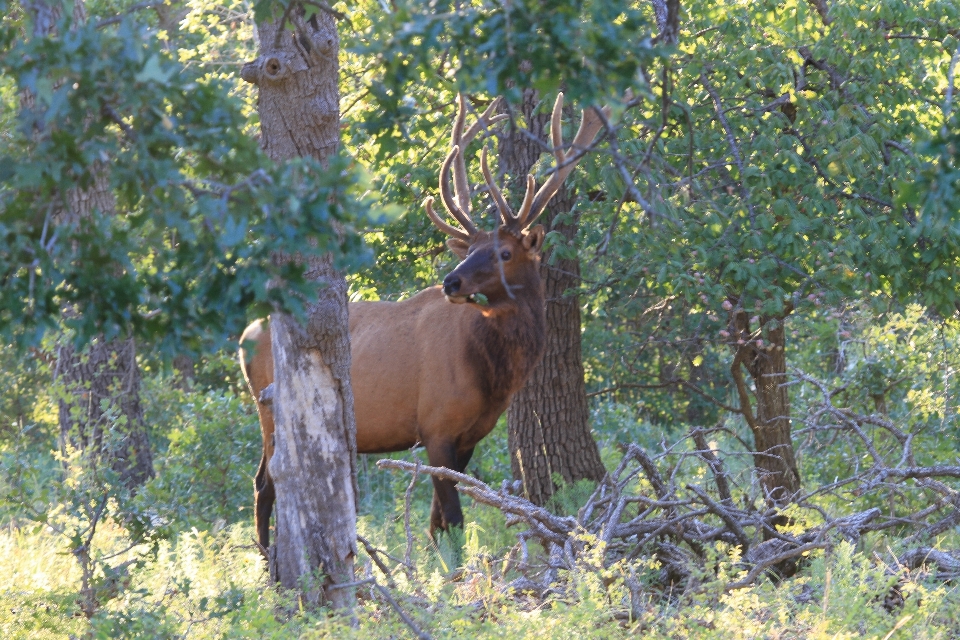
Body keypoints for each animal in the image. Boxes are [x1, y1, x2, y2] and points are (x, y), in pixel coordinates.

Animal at [240, 92, 612, 548]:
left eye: (505, 252)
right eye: (470, 249)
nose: (451, 282)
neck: (493, 375)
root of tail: (243, 335)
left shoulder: (468, 436)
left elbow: (437, 522)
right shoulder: (435, 425)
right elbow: (452, 518)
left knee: (263, 480)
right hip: (271, 411)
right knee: (266, 484)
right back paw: (268, 561)